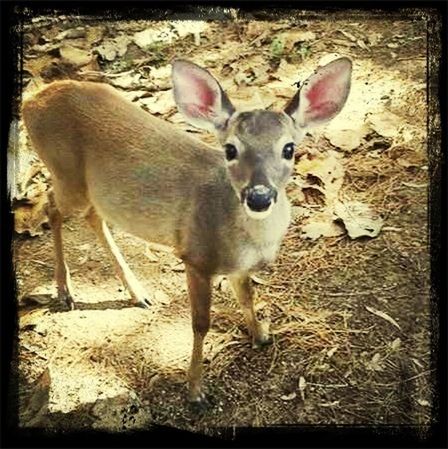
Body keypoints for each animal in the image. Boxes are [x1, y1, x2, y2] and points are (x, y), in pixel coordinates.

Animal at [21, 57, 354, 406]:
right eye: (230, 149)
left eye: (289, 148)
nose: (259, 197)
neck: (248, 240)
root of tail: (31, 100)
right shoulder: (195, 257)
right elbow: (200, 324)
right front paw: (195, 389)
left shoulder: (238, 268)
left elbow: (247, 298)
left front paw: (261, 335)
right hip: (66, 175)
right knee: (52, 207)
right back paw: (65, 290)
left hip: (91, 190)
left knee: (92, 216)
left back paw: (137, 292)